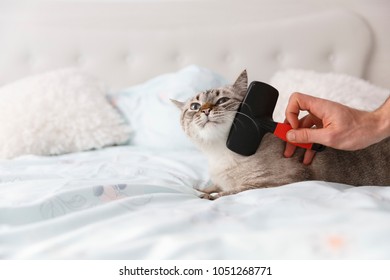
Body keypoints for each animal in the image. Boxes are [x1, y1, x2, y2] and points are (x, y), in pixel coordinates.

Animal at [173, 69, 390, 199]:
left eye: (222, 101)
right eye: (195, 106)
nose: (205, 111)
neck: (220, 154)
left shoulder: (270, 183)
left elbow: (227, 193)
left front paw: (207, 196)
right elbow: (211, 187)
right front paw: (201, 190)